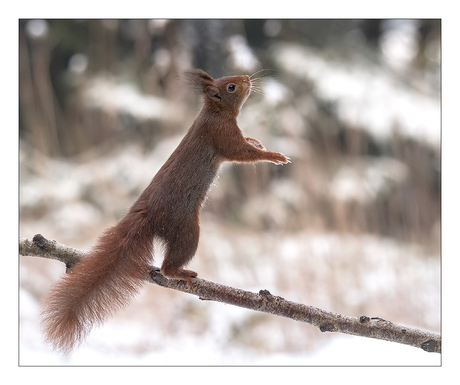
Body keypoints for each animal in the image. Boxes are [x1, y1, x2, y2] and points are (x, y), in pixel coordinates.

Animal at [41, 68, 290, 352]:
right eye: (231, 87)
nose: (248, 78)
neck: (215, 113)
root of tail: (147, 214)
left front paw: (256, 141)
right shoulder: (221, 135)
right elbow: (241, 153)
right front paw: (274, 156)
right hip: (186, 231)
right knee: (168, 265)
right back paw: (181, 272)